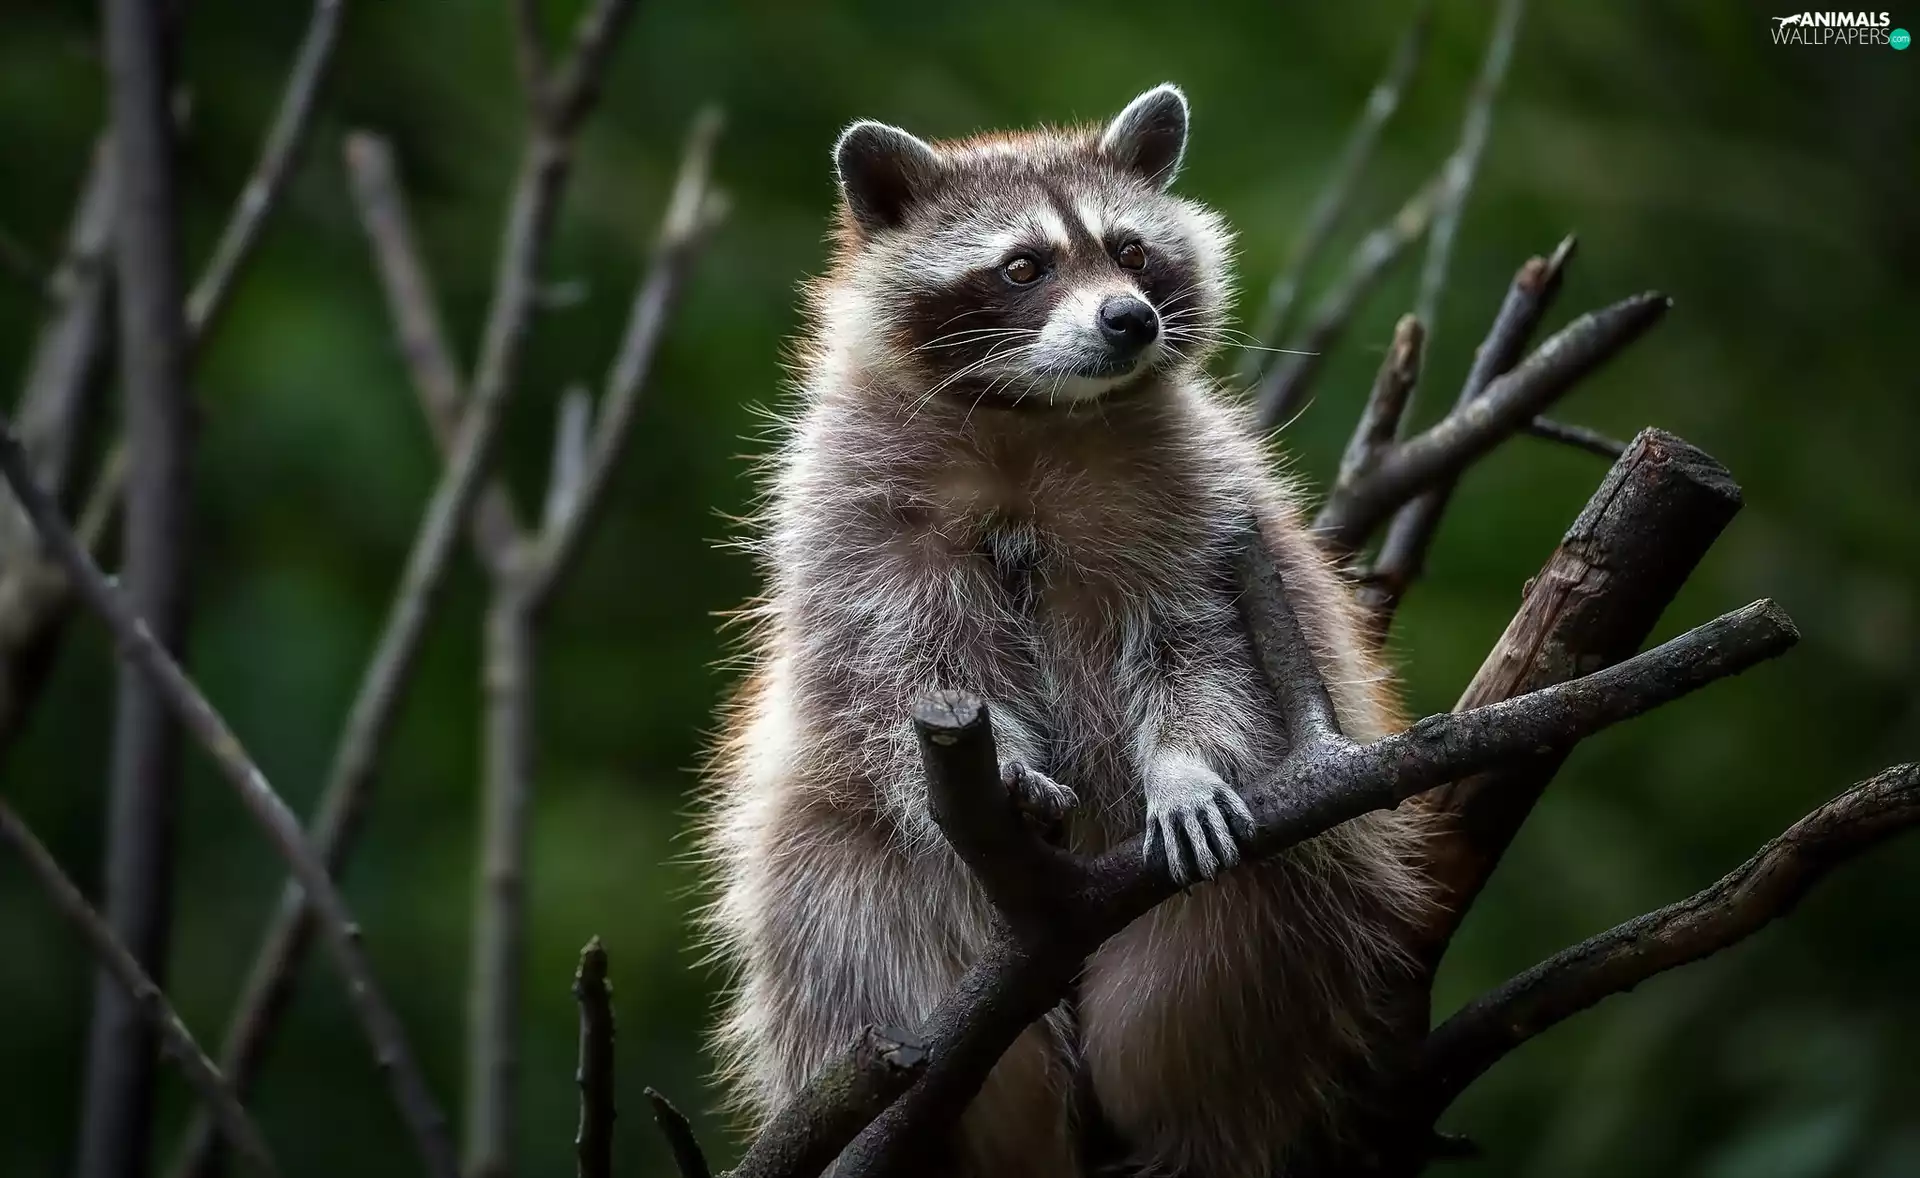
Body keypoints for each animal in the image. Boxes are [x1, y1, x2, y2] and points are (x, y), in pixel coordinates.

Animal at [701, 85, 1434, 1177]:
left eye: (1130, 250)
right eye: (1023, 266)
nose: (1129, 318)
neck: (1033, 413)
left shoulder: (1200, 511)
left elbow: (1196, 648)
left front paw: (1183, 765)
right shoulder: (855, 521)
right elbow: (895, 672)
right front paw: (1000, 762)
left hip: (1275, 902)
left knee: (1205, 999)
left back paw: (1183, 1127)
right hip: (848, 890)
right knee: (851, 937)